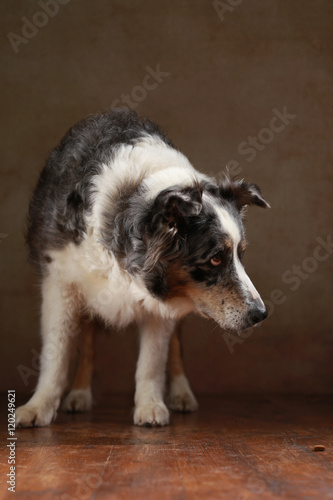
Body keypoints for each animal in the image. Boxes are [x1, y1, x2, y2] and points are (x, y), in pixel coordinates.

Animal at [16, 107, 270, 428]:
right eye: (215, 259)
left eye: (240, 254)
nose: (260, 314)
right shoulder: (60, 282)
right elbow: (57, 353)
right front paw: (39, 406)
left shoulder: (165, 299)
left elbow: (152, 359)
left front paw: (150, 406)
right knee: (87, 342)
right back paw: (80, 394)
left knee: (175, 346)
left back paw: (182, 393)